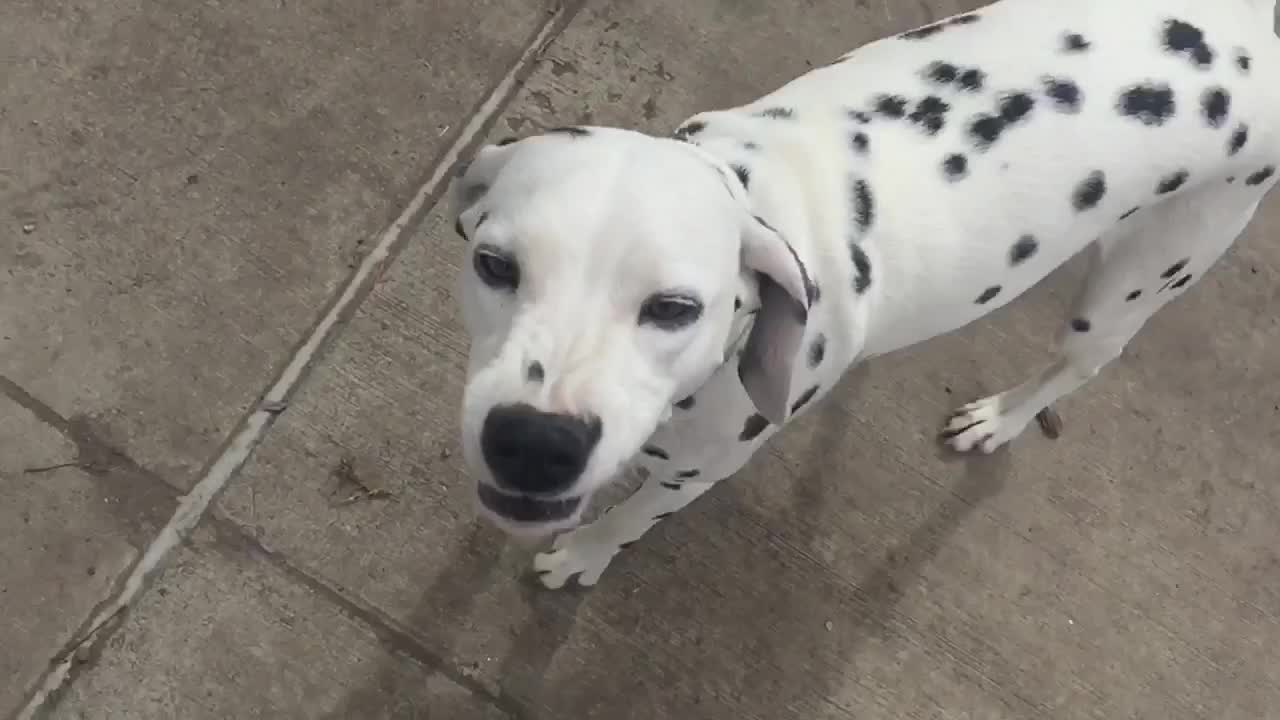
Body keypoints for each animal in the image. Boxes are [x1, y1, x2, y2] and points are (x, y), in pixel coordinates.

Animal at [453, 0, 1280, 586]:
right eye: (494, 265)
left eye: (674, 309)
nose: (534, 445)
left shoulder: (694, 473)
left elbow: (629, 520)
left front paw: (585, 553)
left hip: (1130, 289)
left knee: (1076, 367)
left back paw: (1001, 419)